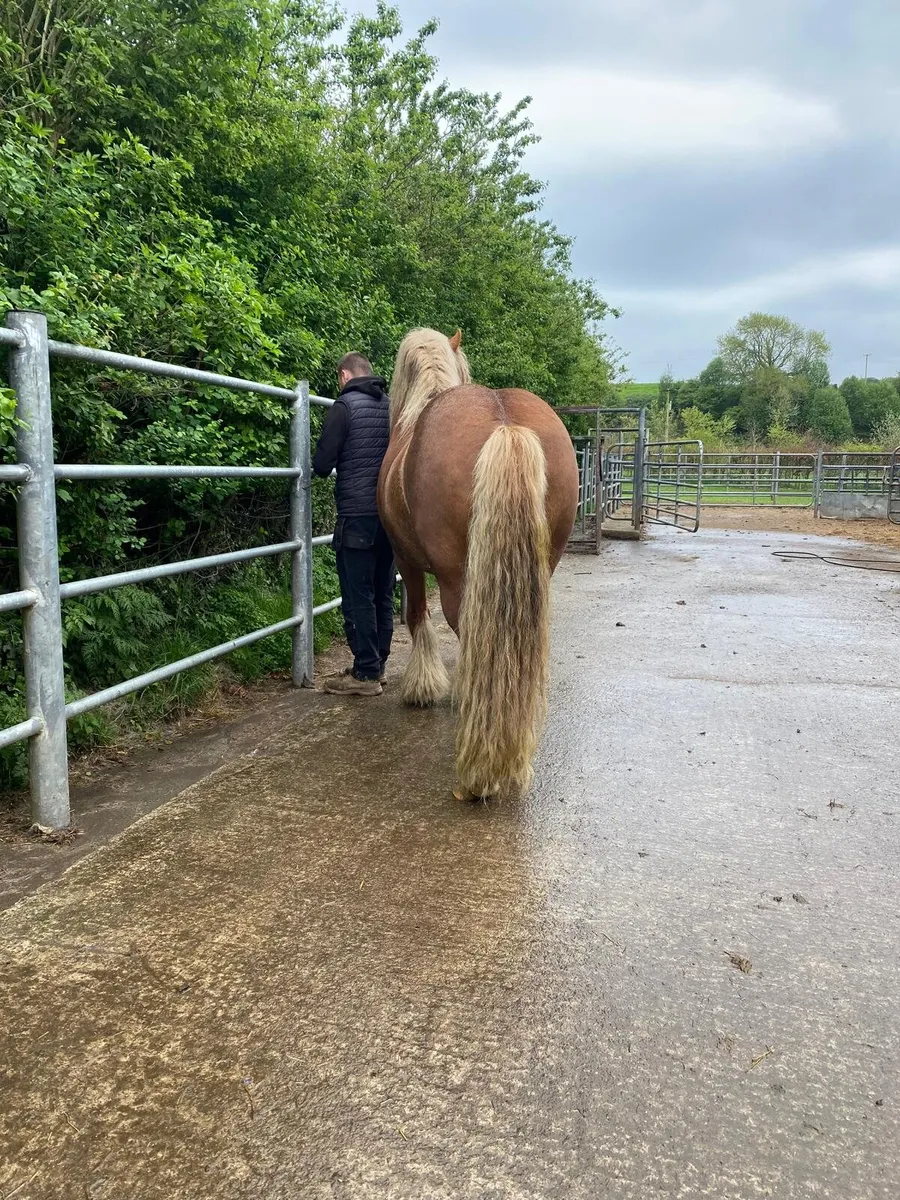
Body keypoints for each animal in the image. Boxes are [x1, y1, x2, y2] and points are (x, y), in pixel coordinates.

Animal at [377, 327, 579, 799]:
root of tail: (505, 423)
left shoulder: (405, 559)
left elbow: (416, 615)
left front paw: (423, 687)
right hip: (542, 569)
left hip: (456, 578)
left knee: (466, 630)